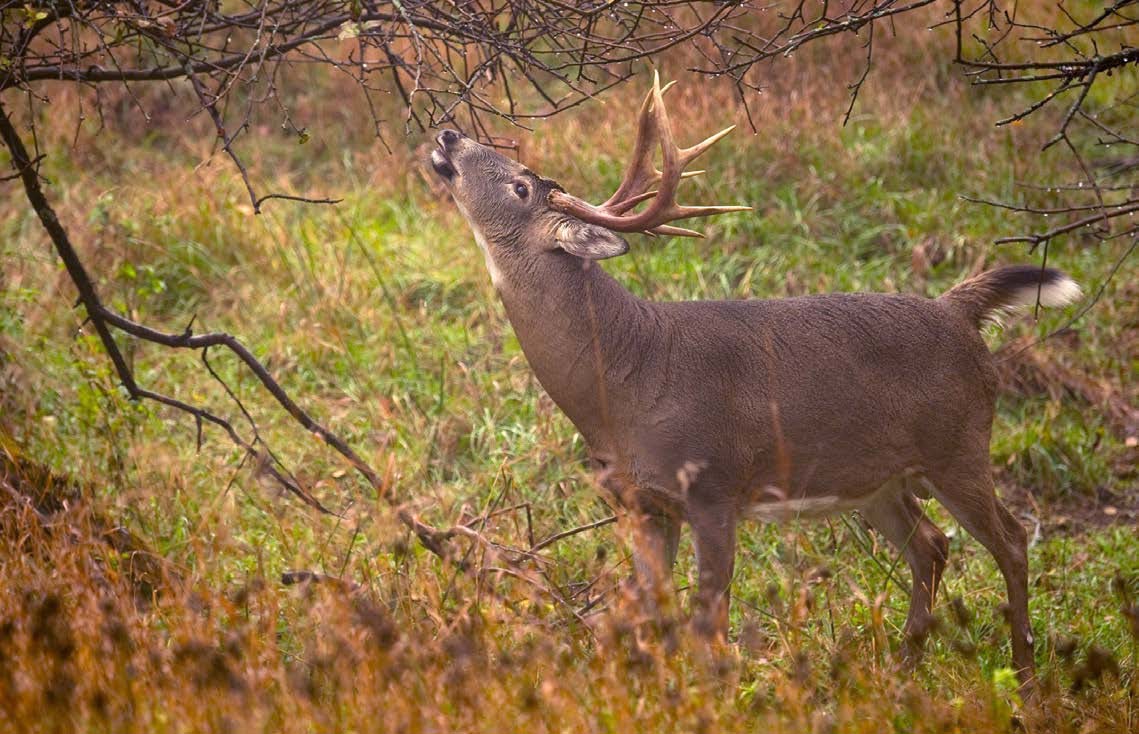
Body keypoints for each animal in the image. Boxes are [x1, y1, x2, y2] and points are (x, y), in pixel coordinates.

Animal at [428, 74, 1075, 688]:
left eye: (521, 186)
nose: (449, 135)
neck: (625, 380)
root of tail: (958, 311)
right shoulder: (643, 504)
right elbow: (650, 615)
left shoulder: (714, 487)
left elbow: (706, 621)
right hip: (879, 479)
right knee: (931, 546)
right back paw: (905, 669)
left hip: (959, 444)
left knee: (1012, 541)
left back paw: (1024, 677)